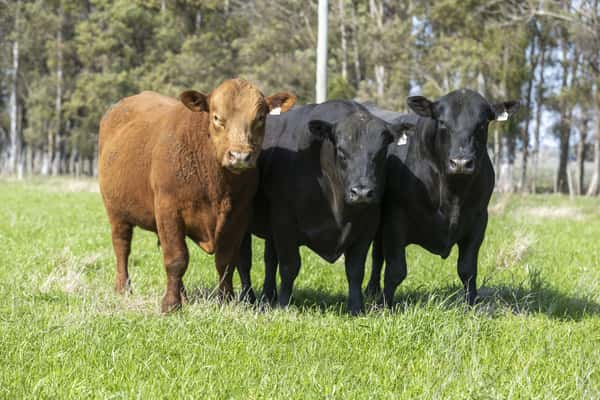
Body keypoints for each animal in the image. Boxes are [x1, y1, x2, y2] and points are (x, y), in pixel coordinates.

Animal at [98, 79, 296, 312]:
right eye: (217, 117)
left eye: (260, 117)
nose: (239, 156)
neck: (215, 185)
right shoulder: (168, 210)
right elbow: (176, 259)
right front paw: (170, 304)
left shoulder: (238, 215)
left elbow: (226, 260)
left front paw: (226, 300)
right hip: (116, 212)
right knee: (122, 246)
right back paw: (123, 287)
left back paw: (183, 295)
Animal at [237, 101, 410, 316]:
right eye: (342, 151)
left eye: (380, 152)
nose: (362, 192)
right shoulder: (284, 224)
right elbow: (289, 267)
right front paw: (283, 305)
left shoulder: (367, 229)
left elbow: (355, 270)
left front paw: (356, 307)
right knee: (244, 261)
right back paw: (248, 298)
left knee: (269, 260)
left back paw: (268, 296)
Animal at [360, 89, 520, 304]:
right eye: (443, 122)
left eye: (482, 124)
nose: (461, 163)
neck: (453, 192)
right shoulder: (395, 218)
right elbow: (395, 270)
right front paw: (386, 305)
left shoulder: (479, 220)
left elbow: (468, 269)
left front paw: (472, 304)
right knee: (377, 255)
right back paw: (372, 290)